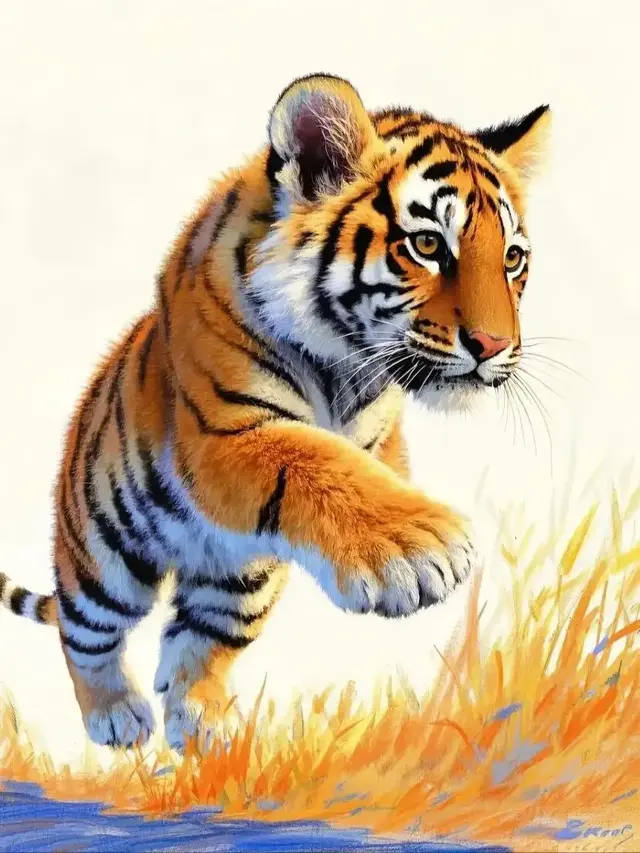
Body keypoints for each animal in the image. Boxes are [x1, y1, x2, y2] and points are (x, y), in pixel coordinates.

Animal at [0, 74, 550, 753]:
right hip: (104, 560)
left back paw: (204, 728)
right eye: (426, 245)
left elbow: (366, 463)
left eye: (512, 258)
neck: (347, 367)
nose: (496, 346)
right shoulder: (223, 432)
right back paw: (117, 717)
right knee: (85, 635)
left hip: (241, 581)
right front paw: (422, 547)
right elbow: (310, 455)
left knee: (196, 644)